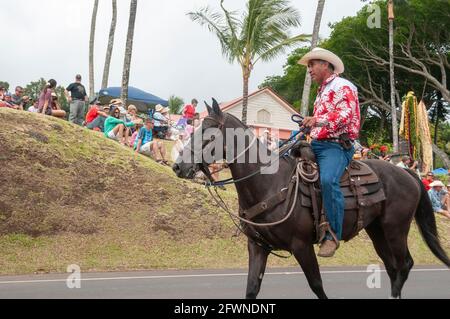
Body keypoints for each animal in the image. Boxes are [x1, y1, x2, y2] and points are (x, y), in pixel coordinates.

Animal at [173, 99, 450, 300]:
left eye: (208, 136)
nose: (178, 166)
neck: (269, 183)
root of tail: (407, 173)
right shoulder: (258, 246)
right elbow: (251, 289)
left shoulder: (301, 245)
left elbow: (316, 284)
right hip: (377, 230)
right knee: (393, 268)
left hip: (395, 228)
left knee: (404, 265)